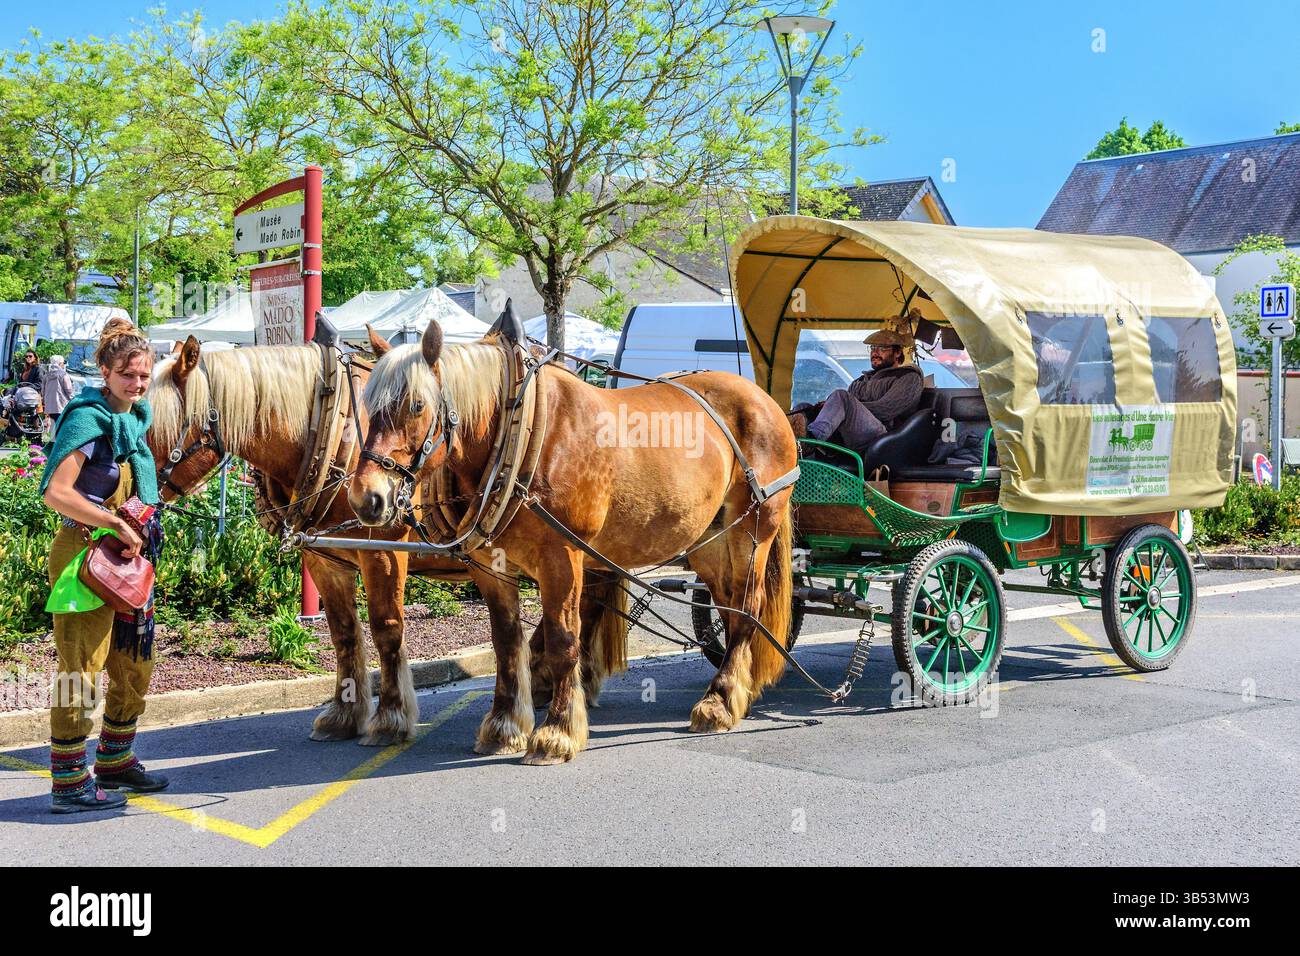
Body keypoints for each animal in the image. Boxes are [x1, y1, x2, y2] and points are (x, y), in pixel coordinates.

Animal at [146, 331, 628, 748]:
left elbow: (386, 628)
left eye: (152, 425)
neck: (329, 428)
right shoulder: (325, 559)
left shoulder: (384, 550)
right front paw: (344, 714)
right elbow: (343, 632)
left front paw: (391, 717)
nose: (131, 496)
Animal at [348, 314, 798, 764]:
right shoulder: (493, 566)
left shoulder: (561, 556)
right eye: (368, 407)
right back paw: (738, 691)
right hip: (709, 539)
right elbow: (506, 642)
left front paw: (557, 732)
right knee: (729, 604)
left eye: (416, 405)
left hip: (753, 527)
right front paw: (504, 726)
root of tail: (763, 398)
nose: (367, 498)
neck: (522, 429)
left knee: (747, 606)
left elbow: (564, 640)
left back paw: (719, 702)